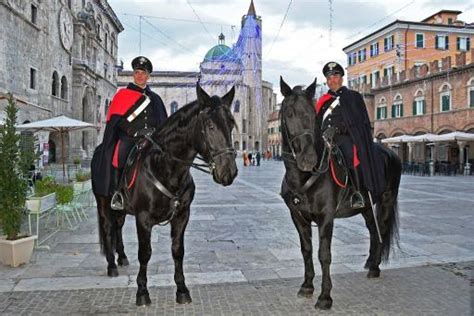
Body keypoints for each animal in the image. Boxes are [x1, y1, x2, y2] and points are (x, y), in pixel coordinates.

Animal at [91, 84, 239, 306]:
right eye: (210, 126)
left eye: (231, 124)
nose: (229, 172)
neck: (166, 167)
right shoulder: (143, 219)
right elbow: (145, 253)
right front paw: (142, 291)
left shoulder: (182, 216)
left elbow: (178, 251)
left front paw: (182, 289)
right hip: (103, 202)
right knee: (108, 228)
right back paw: (111, 265)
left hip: (121, 209)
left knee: (118, 227)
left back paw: (122, 257)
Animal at [280, 78, 402, 310]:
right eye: (289, 113)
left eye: (313, 115)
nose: (308, 160)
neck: (304, 177)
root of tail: (391, 152)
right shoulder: (297, 217)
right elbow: (306, 250)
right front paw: (307, 286)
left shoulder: (326, 217)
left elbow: (324, 255)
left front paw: (325, 297)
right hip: (366, 207)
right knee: (373, 231)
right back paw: (370, 263)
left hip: (386, 200)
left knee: (381, 230)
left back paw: (375, 268)